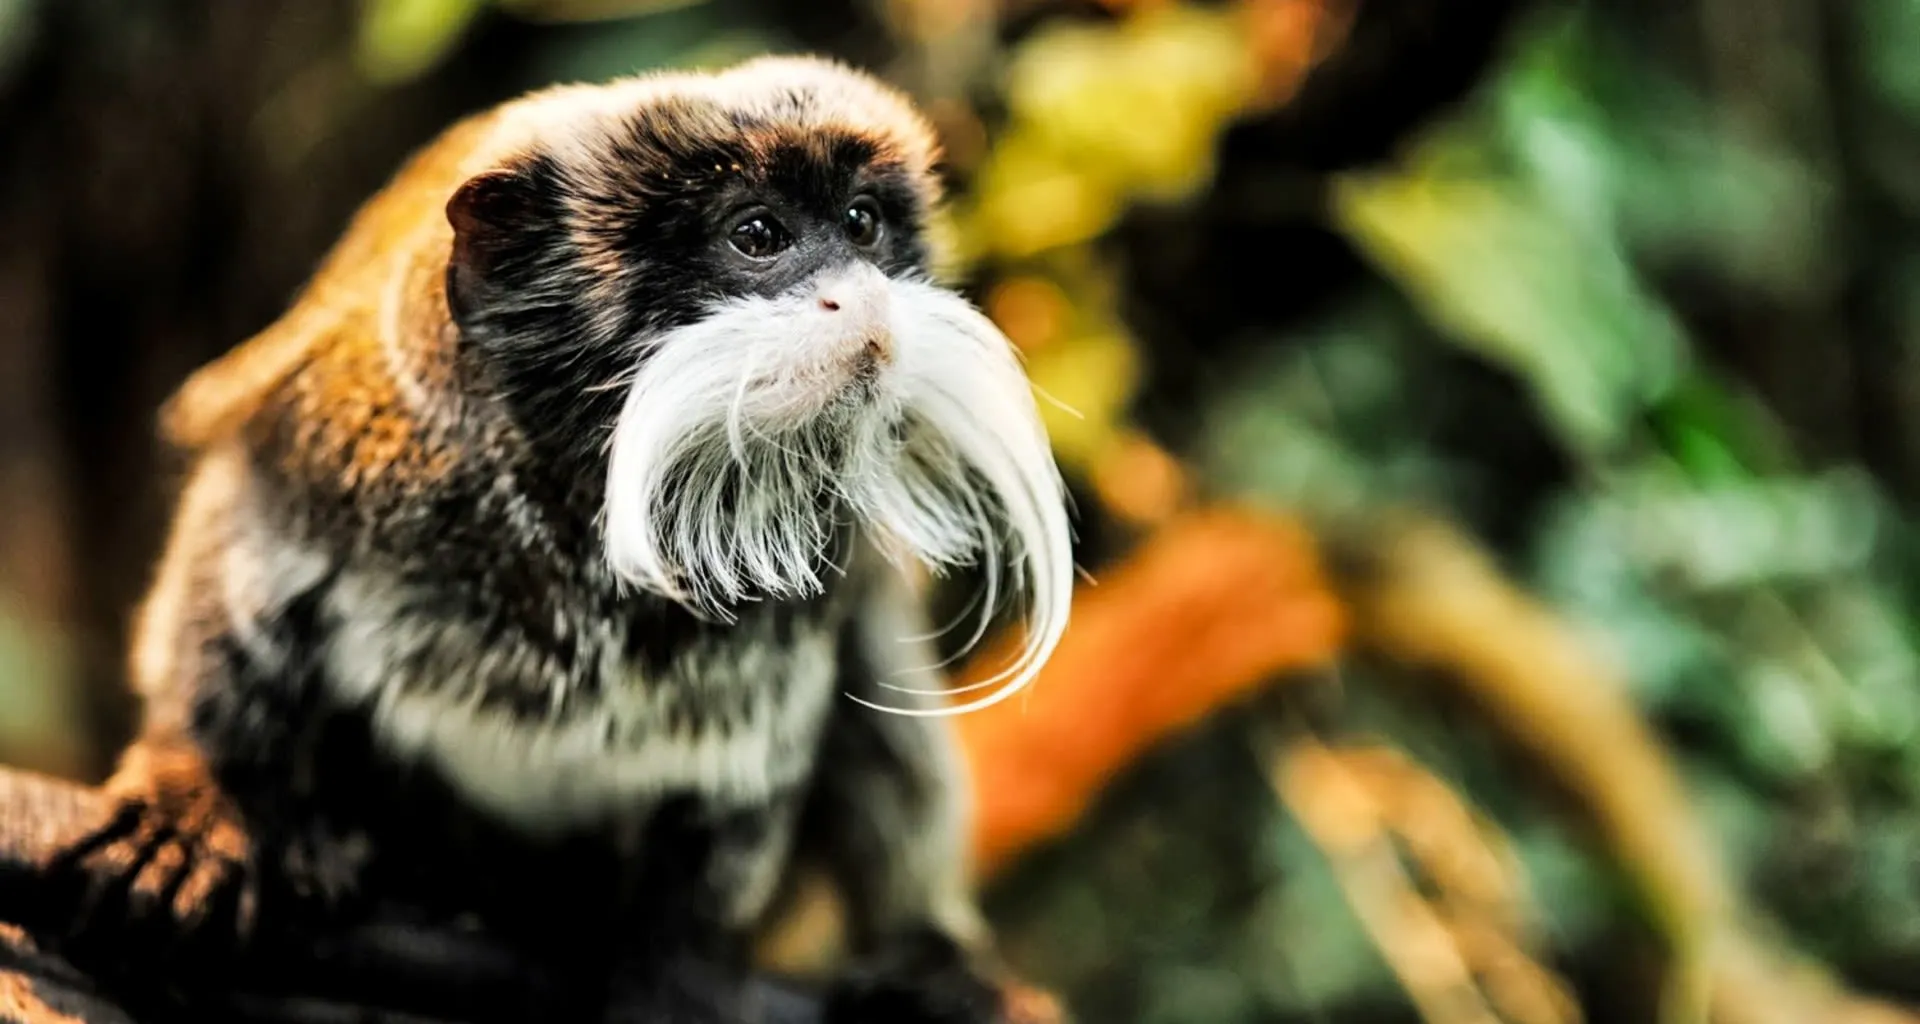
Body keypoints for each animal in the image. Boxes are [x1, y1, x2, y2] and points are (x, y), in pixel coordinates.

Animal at [45, 55, 1075, 1023]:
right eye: (757, 236)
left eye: (862, 225)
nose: (863, 300)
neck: (590, 513)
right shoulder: (341, 445)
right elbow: (233, 561)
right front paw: (195, 796)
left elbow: (745, 786)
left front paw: (674, 963)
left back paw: (930, 957)